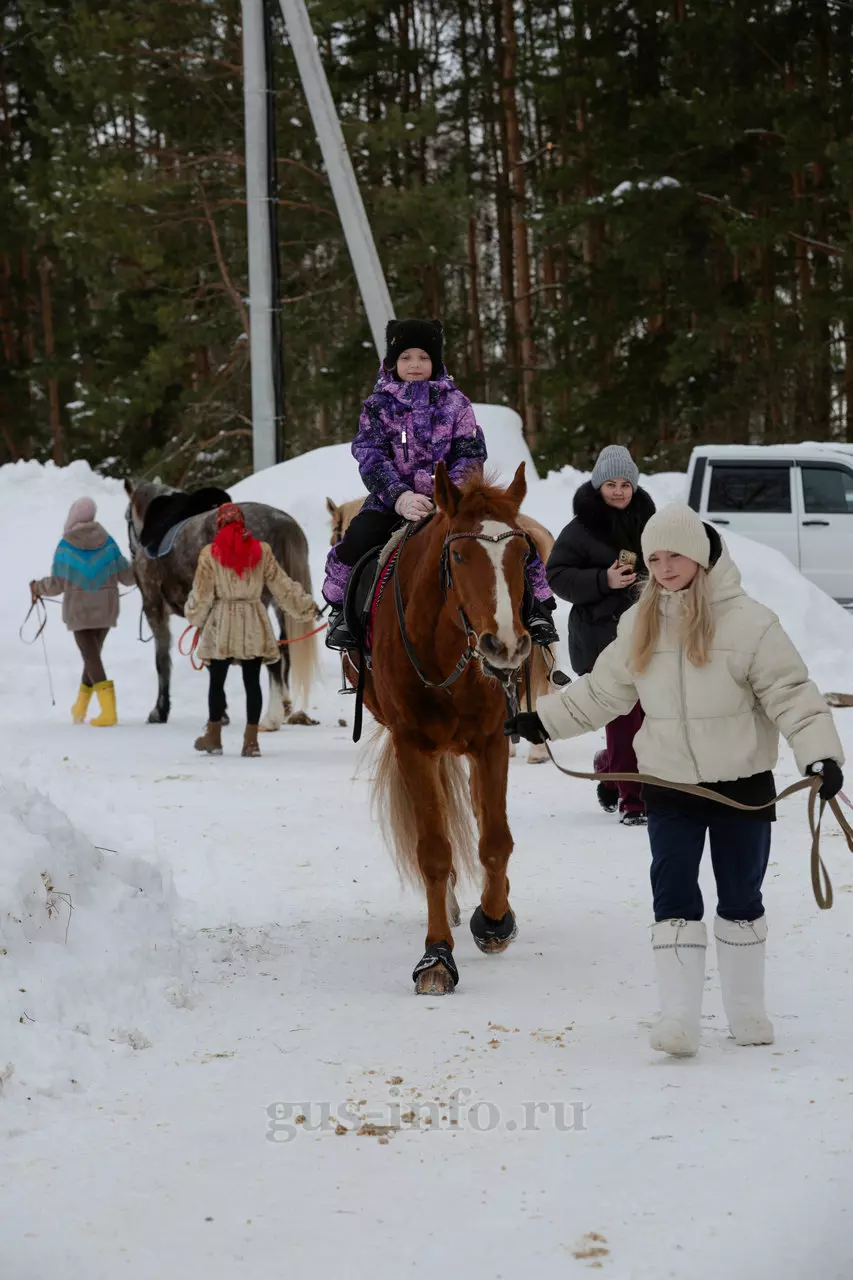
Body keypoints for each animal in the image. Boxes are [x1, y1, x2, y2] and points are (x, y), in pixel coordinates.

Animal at [362, 461, 533, 995]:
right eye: (458, 554)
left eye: (524, 554)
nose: (505, 645)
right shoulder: (413, 746)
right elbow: (434, 852)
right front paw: (436, 957)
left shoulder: (492, 741)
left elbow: (496, 840)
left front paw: (495, 920)